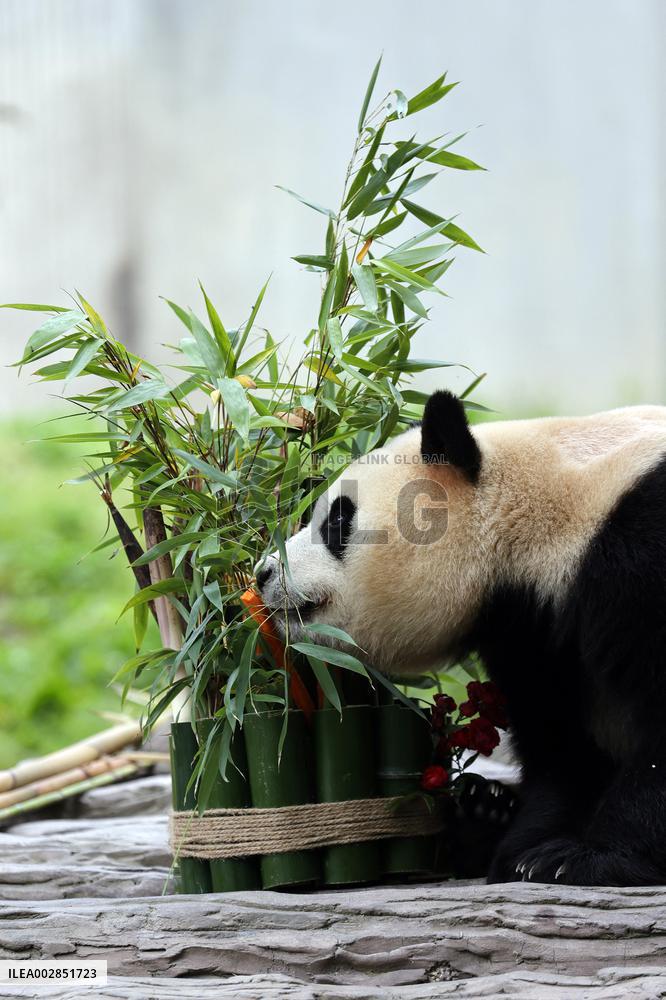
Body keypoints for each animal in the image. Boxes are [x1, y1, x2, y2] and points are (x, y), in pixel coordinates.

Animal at [256, 390, 666, 886]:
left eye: (336, 522)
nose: (262, 574)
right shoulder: (530, 629)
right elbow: (559, 743)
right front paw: (524, 851)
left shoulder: (639, 551)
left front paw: (583, 858)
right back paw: (481, 813)